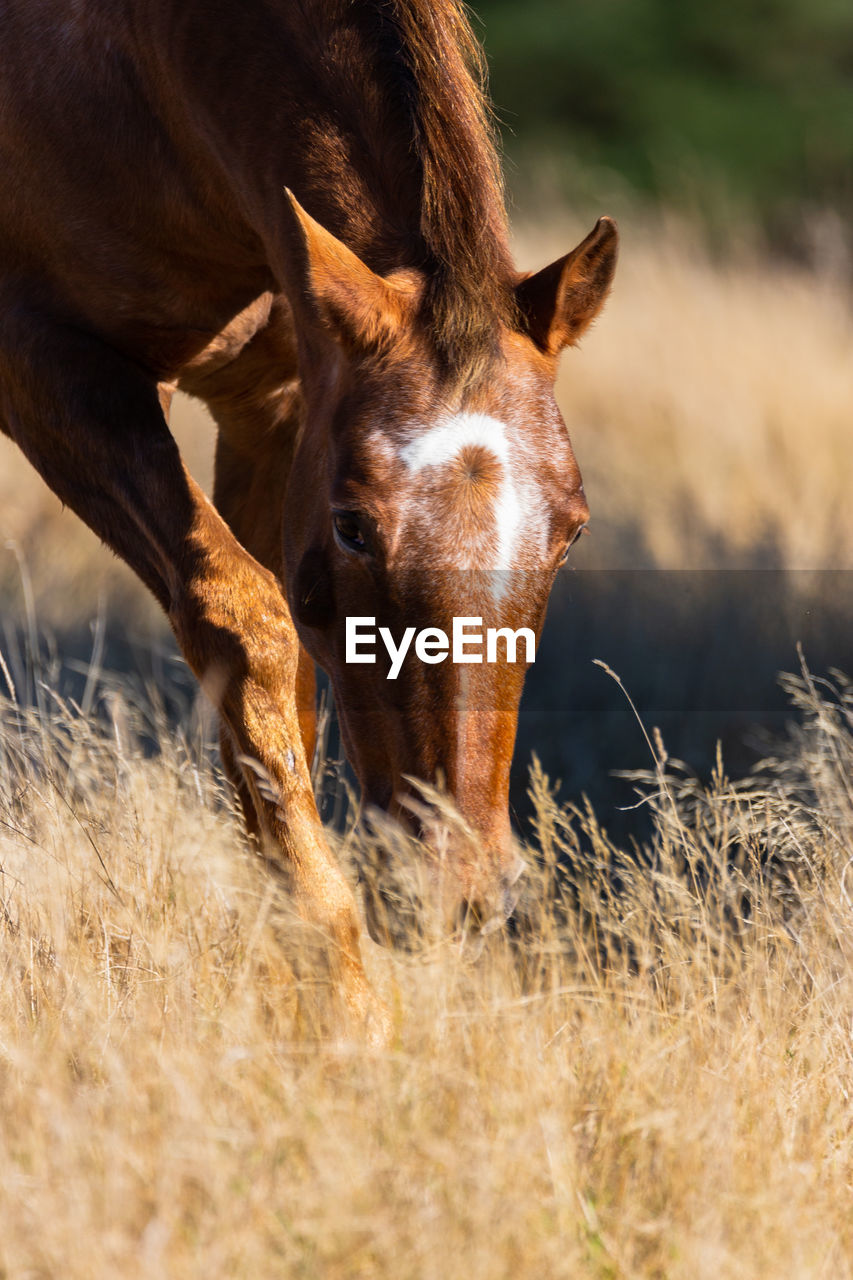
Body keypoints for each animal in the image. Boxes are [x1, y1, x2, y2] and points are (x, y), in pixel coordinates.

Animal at [0, 0, 614, 1029]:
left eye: (569, 532)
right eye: (354, 525)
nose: (462, 891)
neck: (144, 62)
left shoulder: (277, 398)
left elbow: (264, 680)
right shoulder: (49, 366)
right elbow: (245, 621)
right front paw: (350, 1010)